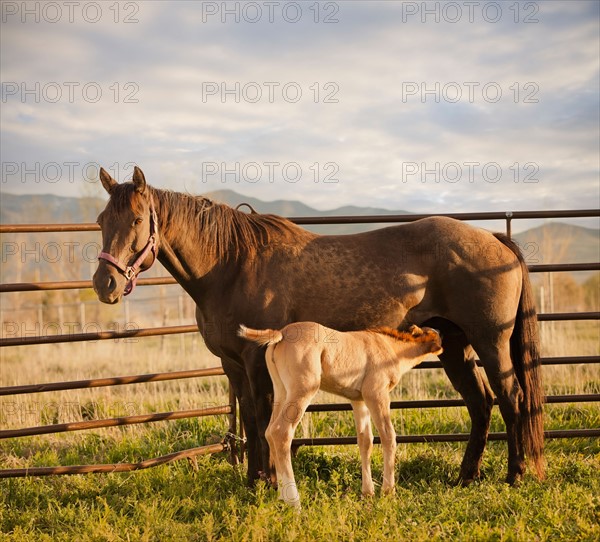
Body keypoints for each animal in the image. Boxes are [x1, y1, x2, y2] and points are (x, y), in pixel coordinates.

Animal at [92, 167, 544, 488]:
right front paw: (253, 480)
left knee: (512, 398)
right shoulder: (232, 365)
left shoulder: (256, 359)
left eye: (137, 220)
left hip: (491, 343)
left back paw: (515, 474)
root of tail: (495, 238)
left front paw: (267, 481)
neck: (232, 266)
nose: (105, 284)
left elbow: (261, 415)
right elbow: (250, 417)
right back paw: (467, 476)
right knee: (481, 403)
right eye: (101, 220)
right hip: (454, 346)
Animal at [238, 324, 440, 510]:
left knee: (269, 432)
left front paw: (367, 493)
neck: (389, 347)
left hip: (281, 391)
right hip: (303, 389)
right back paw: (294, 503)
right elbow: (388, 436)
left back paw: (281, 497)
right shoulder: (376, 393)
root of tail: (282, 333)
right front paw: (388, 492)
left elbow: (365, 440)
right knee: (281, 432)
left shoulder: (358, 400)